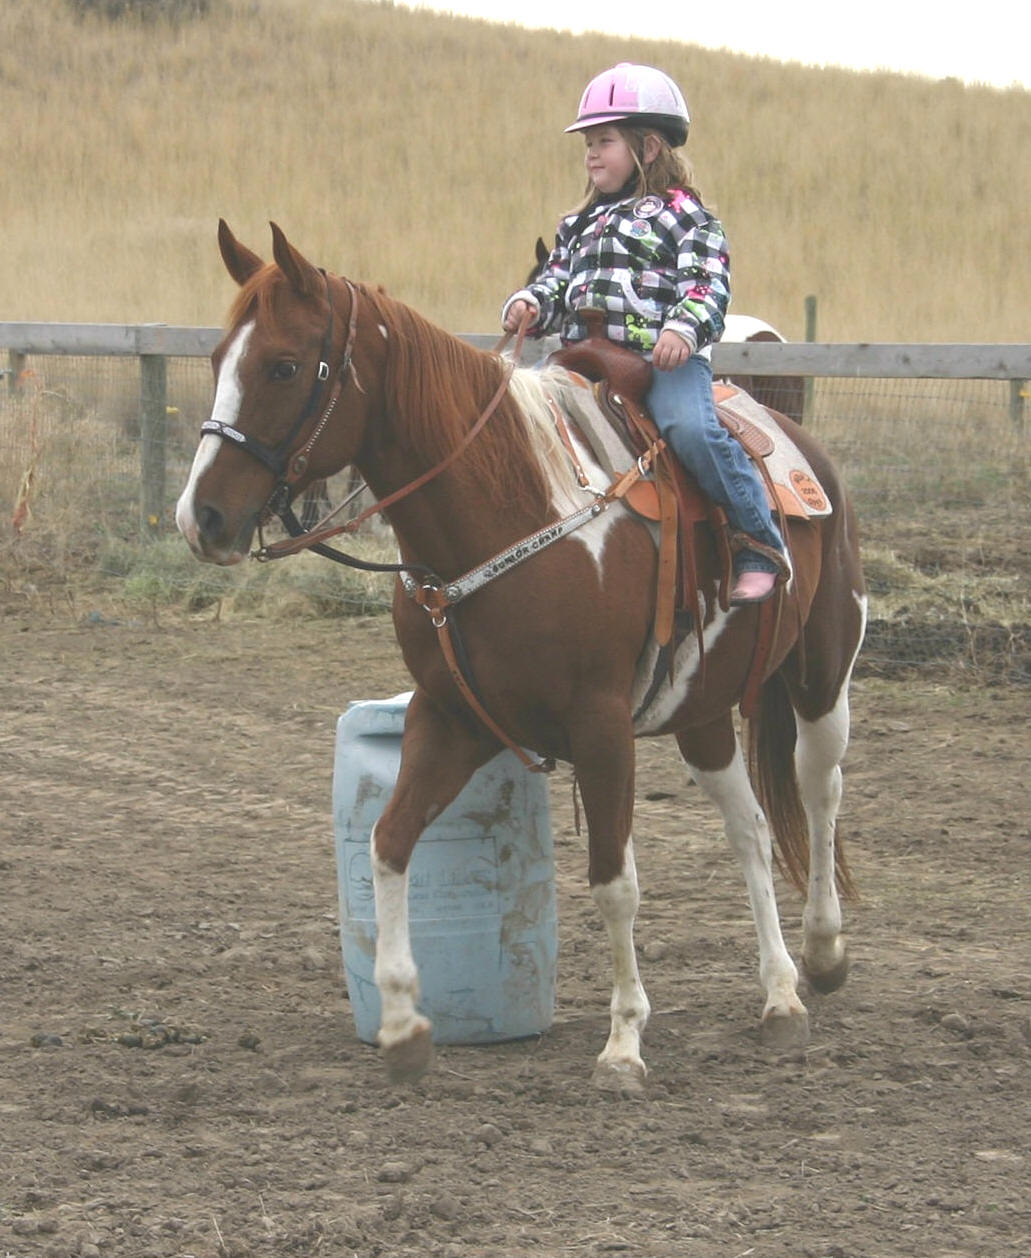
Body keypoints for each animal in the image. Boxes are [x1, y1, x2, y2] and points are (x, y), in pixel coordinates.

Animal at [176, 221, 866, 1092]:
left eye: (283, 365)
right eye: (216, 358)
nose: (200, 517)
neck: (505, 514)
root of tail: (798, 445)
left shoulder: (601, 730)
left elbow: (613, 883)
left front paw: (623, 1043)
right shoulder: (450, 717)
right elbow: (389, 843)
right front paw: (402, 1024)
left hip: (822, 674)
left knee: (817, 790)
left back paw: (823, 954)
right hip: (701, 710)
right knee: (748, 827)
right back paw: (778, 997)